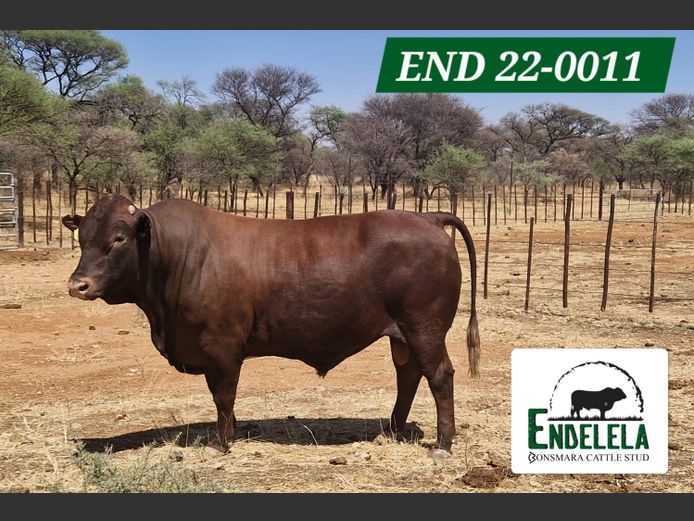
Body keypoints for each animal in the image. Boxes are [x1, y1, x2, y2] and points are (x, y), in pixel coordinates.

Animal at [62, 194, 480, 459]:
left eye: (119, 238)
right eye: (82, 238)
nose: (78, 285)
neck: (175, 256)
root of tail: (426, 217)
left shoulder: (222, 349)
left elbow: (223, 396)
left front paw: (220, 443)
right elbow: (221, 399)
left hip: (424, 327)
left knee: (439, 376)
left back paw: (443, 444)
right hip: (402, 334)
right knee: (408, 375)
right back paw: (390, 432)